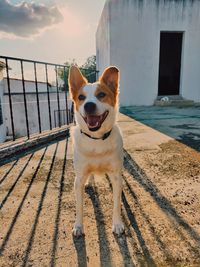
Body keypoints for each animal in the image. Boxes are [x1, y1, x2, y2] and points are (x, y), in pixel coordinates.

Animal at [69, 65, 124, 237]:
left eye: (101, 95)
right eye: (81, 97)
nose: (89, 105)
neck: (97, 139)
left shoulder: (115, 174)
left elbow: (116, 204)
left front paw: (117, 224)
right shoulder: (78, 178)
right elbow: (79, 206)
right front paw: (78, 226)